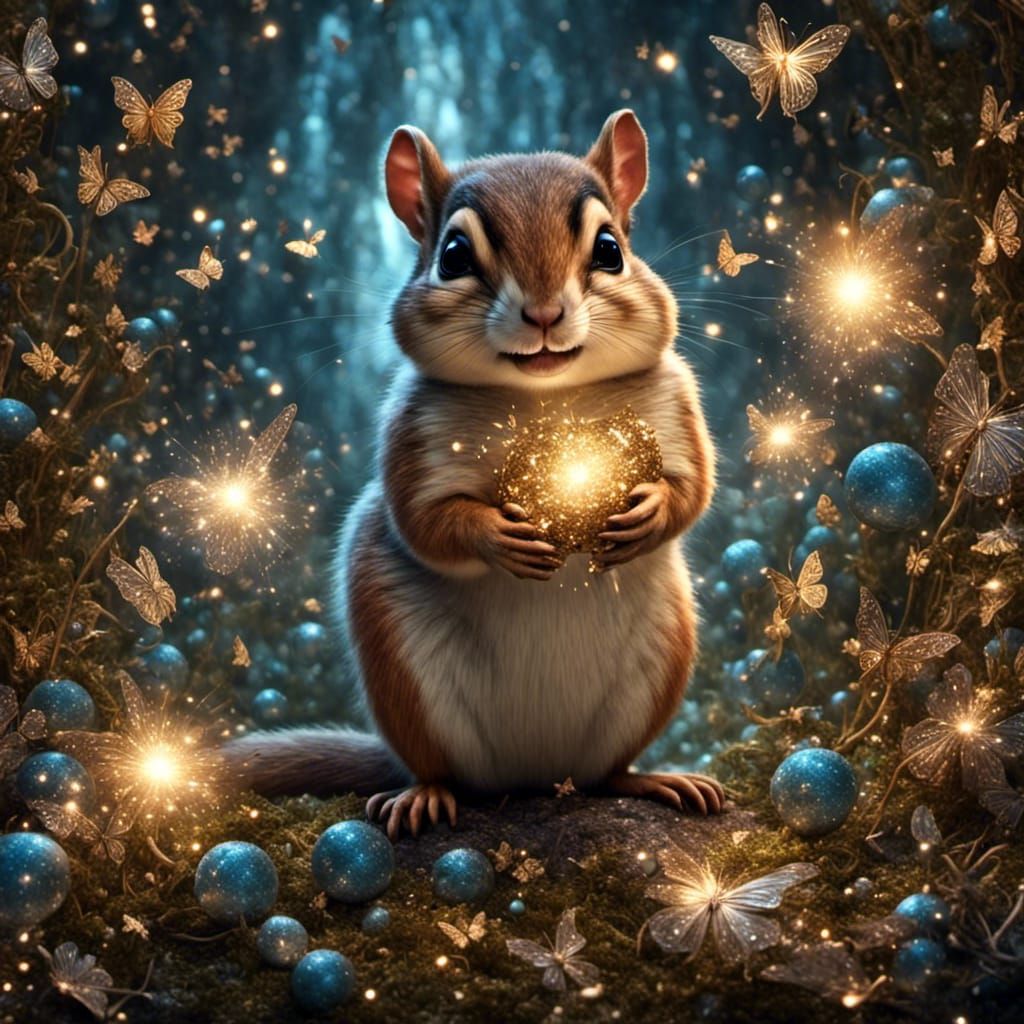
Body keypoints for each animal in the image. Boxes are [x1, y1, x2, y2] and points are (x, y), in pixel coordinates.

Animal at [224, 110, 722, 838]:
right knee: (441, 769)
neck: (547, 396)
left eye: (610, 249)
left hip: (661, 661)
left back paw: (652, 780)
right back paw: (424, 796)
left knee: (608, 774)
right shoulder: (412, 431)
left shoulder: (677, 407)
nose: (543, 312)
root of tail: (539, 777)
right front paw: (497, 536)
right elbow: (424, 521)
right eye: (453, 256)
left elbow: (695, 490)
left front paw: (651, 510)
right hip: (404, 676)